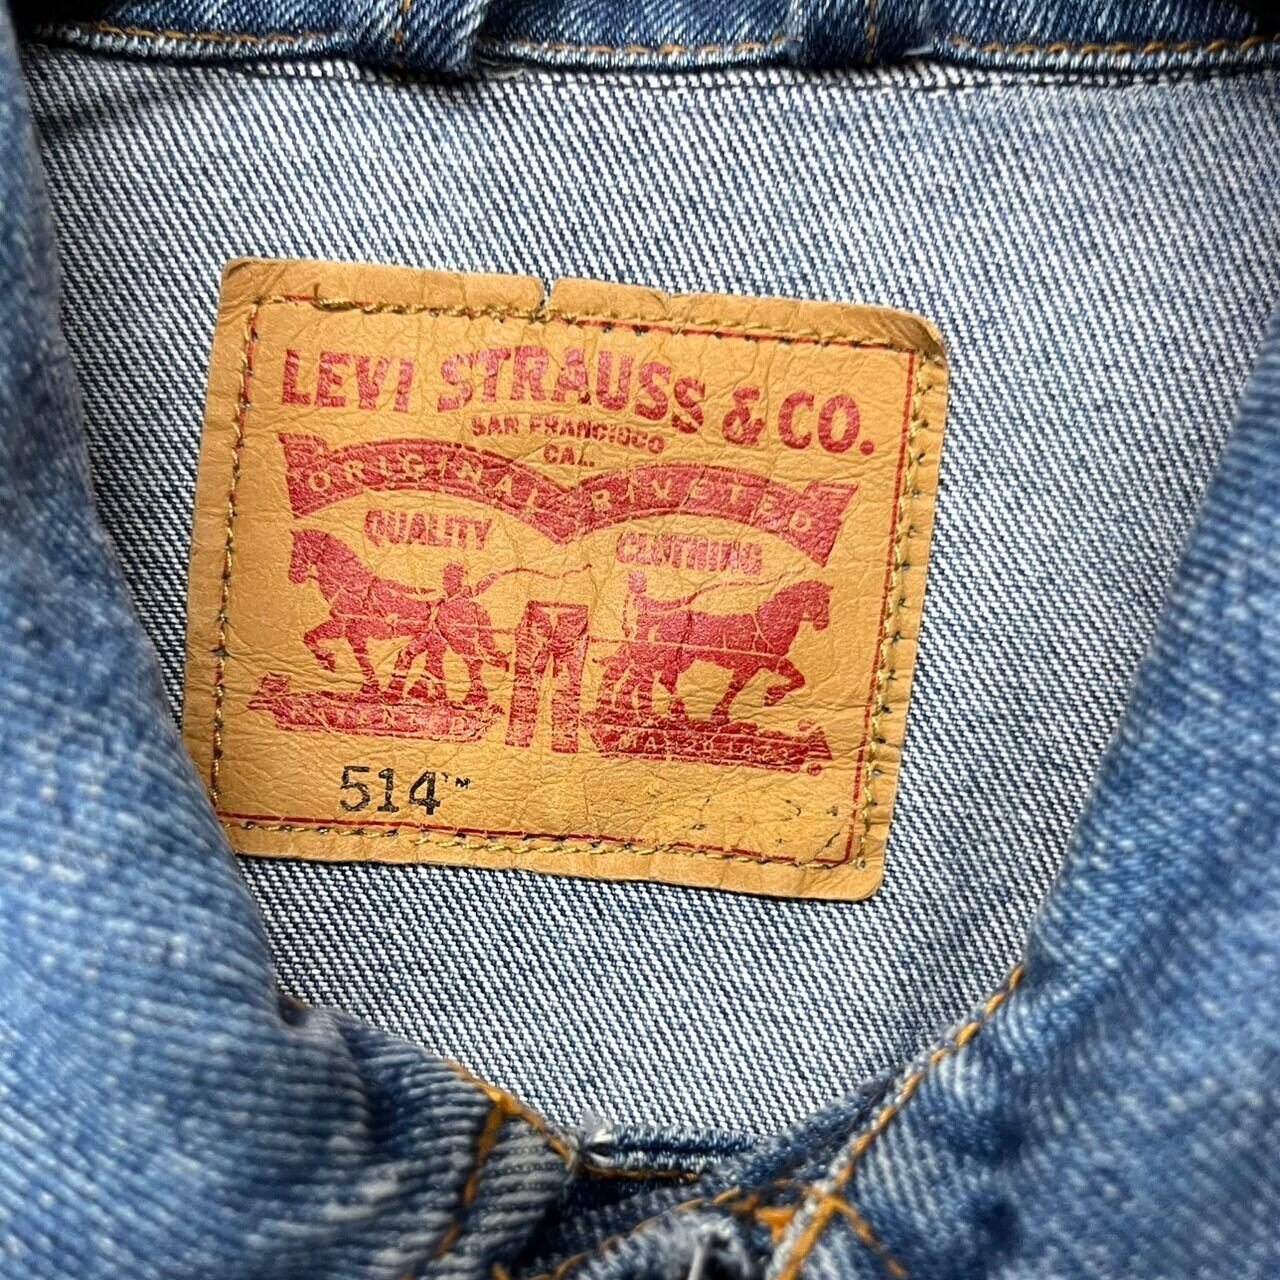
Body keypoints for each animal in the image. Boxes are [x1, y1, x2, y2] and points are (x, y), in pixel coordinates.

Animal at [598, 573, 831, 722]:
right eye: (822, 601)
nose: (823, 624)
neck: (768, 624)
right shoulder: (755, 664)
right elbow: (739, 687)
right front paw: (767, 697)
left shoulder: (762, 664)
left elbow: (794, 678)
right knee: (652, 675)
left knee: (654, 676)